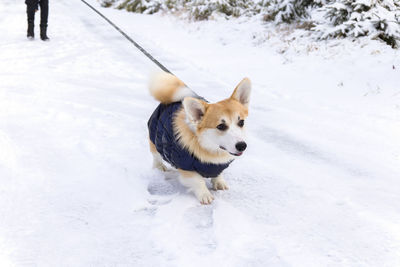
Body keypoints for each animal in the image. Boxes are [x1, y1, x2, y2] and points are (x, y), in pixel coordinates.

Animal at [148, 72, 252, 204]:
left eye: (241, 122)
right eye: (221, 126)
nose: (242, 146)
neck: (211, 148)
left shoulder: (218, 165)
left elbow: (218, 174)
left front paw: (219, 182)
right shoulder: (186, 167)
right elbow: (198, 181)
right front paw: (205, 195)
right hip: (155, 139)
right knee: (155, 155)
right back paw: (159, 167)